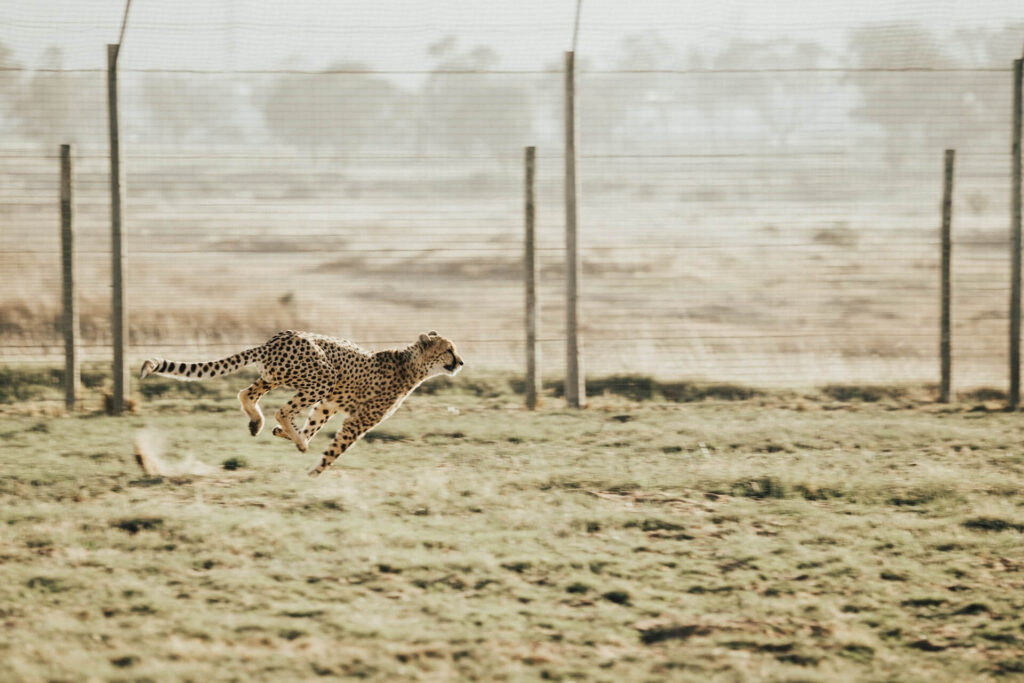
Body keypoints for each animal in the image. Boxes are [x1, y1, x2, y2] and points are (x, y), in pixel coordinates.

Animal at [138, 331, 466, 475]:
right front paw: (313, 472)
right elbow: (335, 449)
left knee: (247, 393)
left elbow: (315, 423)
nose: (461, 362)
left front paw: (292, 437)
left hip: (279, 376)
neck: (411, 364)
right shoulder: (357, 420)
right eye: (449, 350)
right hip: (323, 376)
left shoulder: (330, 404)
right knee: (281, 409)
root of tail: (276, 338)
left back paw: (261, 424)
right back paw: (291, 435)